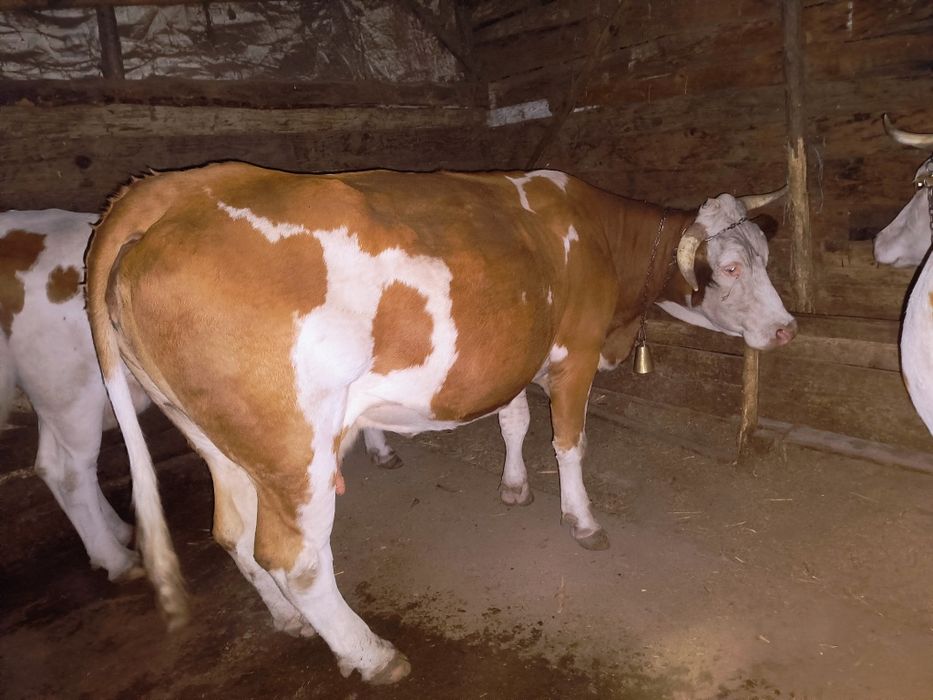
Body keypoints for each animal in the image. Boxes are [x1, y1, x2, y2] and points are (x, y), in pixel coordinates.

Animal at [85, 163, 796, 683]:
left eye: (765, 258)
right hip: (295, 450)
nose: (787, 329)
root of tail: (167, 193)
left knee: (232, 533)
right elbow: (569, 442)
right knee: (296, 559)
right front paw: (582, 519)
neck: (592, 235)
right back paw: (370, 654)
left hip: (216, 439)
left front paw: (514, 486)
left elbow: (513, 420)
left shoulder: (513, 355)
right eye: (730, 268)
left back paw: (291, 622)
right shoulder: (575, 353)